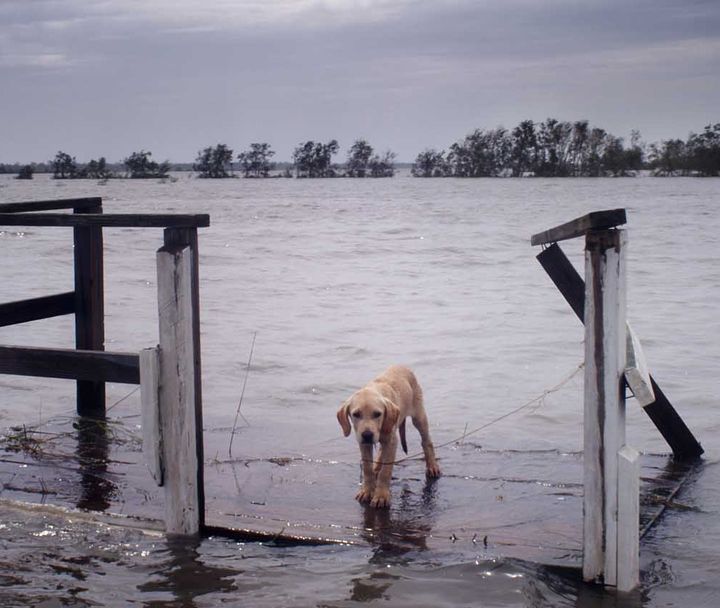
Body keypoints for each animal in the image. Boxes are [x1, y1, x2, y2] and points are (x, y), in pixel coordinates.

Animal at [336, 366, 438, 508]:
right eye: (356, 414)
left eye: (377, 414)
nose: (367, 435)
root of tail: (403, 366)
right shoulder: (363, 443)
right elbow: (367, 468)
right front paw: (367, 490)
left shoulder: (391, 441)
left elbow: (386, 471)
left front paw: (381, 496)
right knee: (380, 451)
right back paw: (376, 467)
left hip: (419, 417)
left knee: (426, 441)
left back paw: (432, 466)